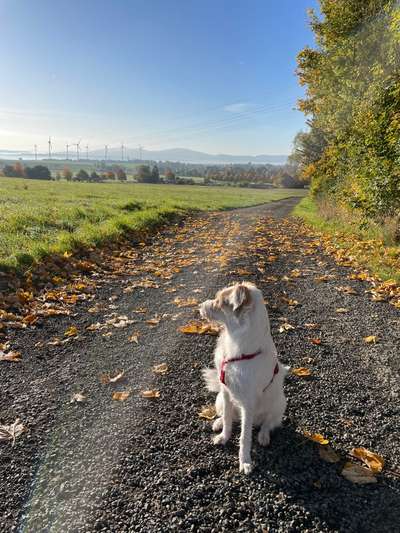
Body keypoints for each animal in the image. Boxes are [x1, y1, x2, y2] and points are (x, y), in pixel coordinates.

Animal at [200, 280, 288, 472]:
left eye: (220, 302)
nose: (199, 306)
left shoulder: (248, 404)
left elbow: (244, 437)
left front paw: (245, 461)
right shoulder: (225, 391)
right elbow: (227, 418)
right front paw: (224, 436)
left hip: (279, 404)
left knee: (268, 423)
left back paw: (263, 436)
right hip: (219, 399)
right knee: (229, 416)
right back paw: (218, 423)